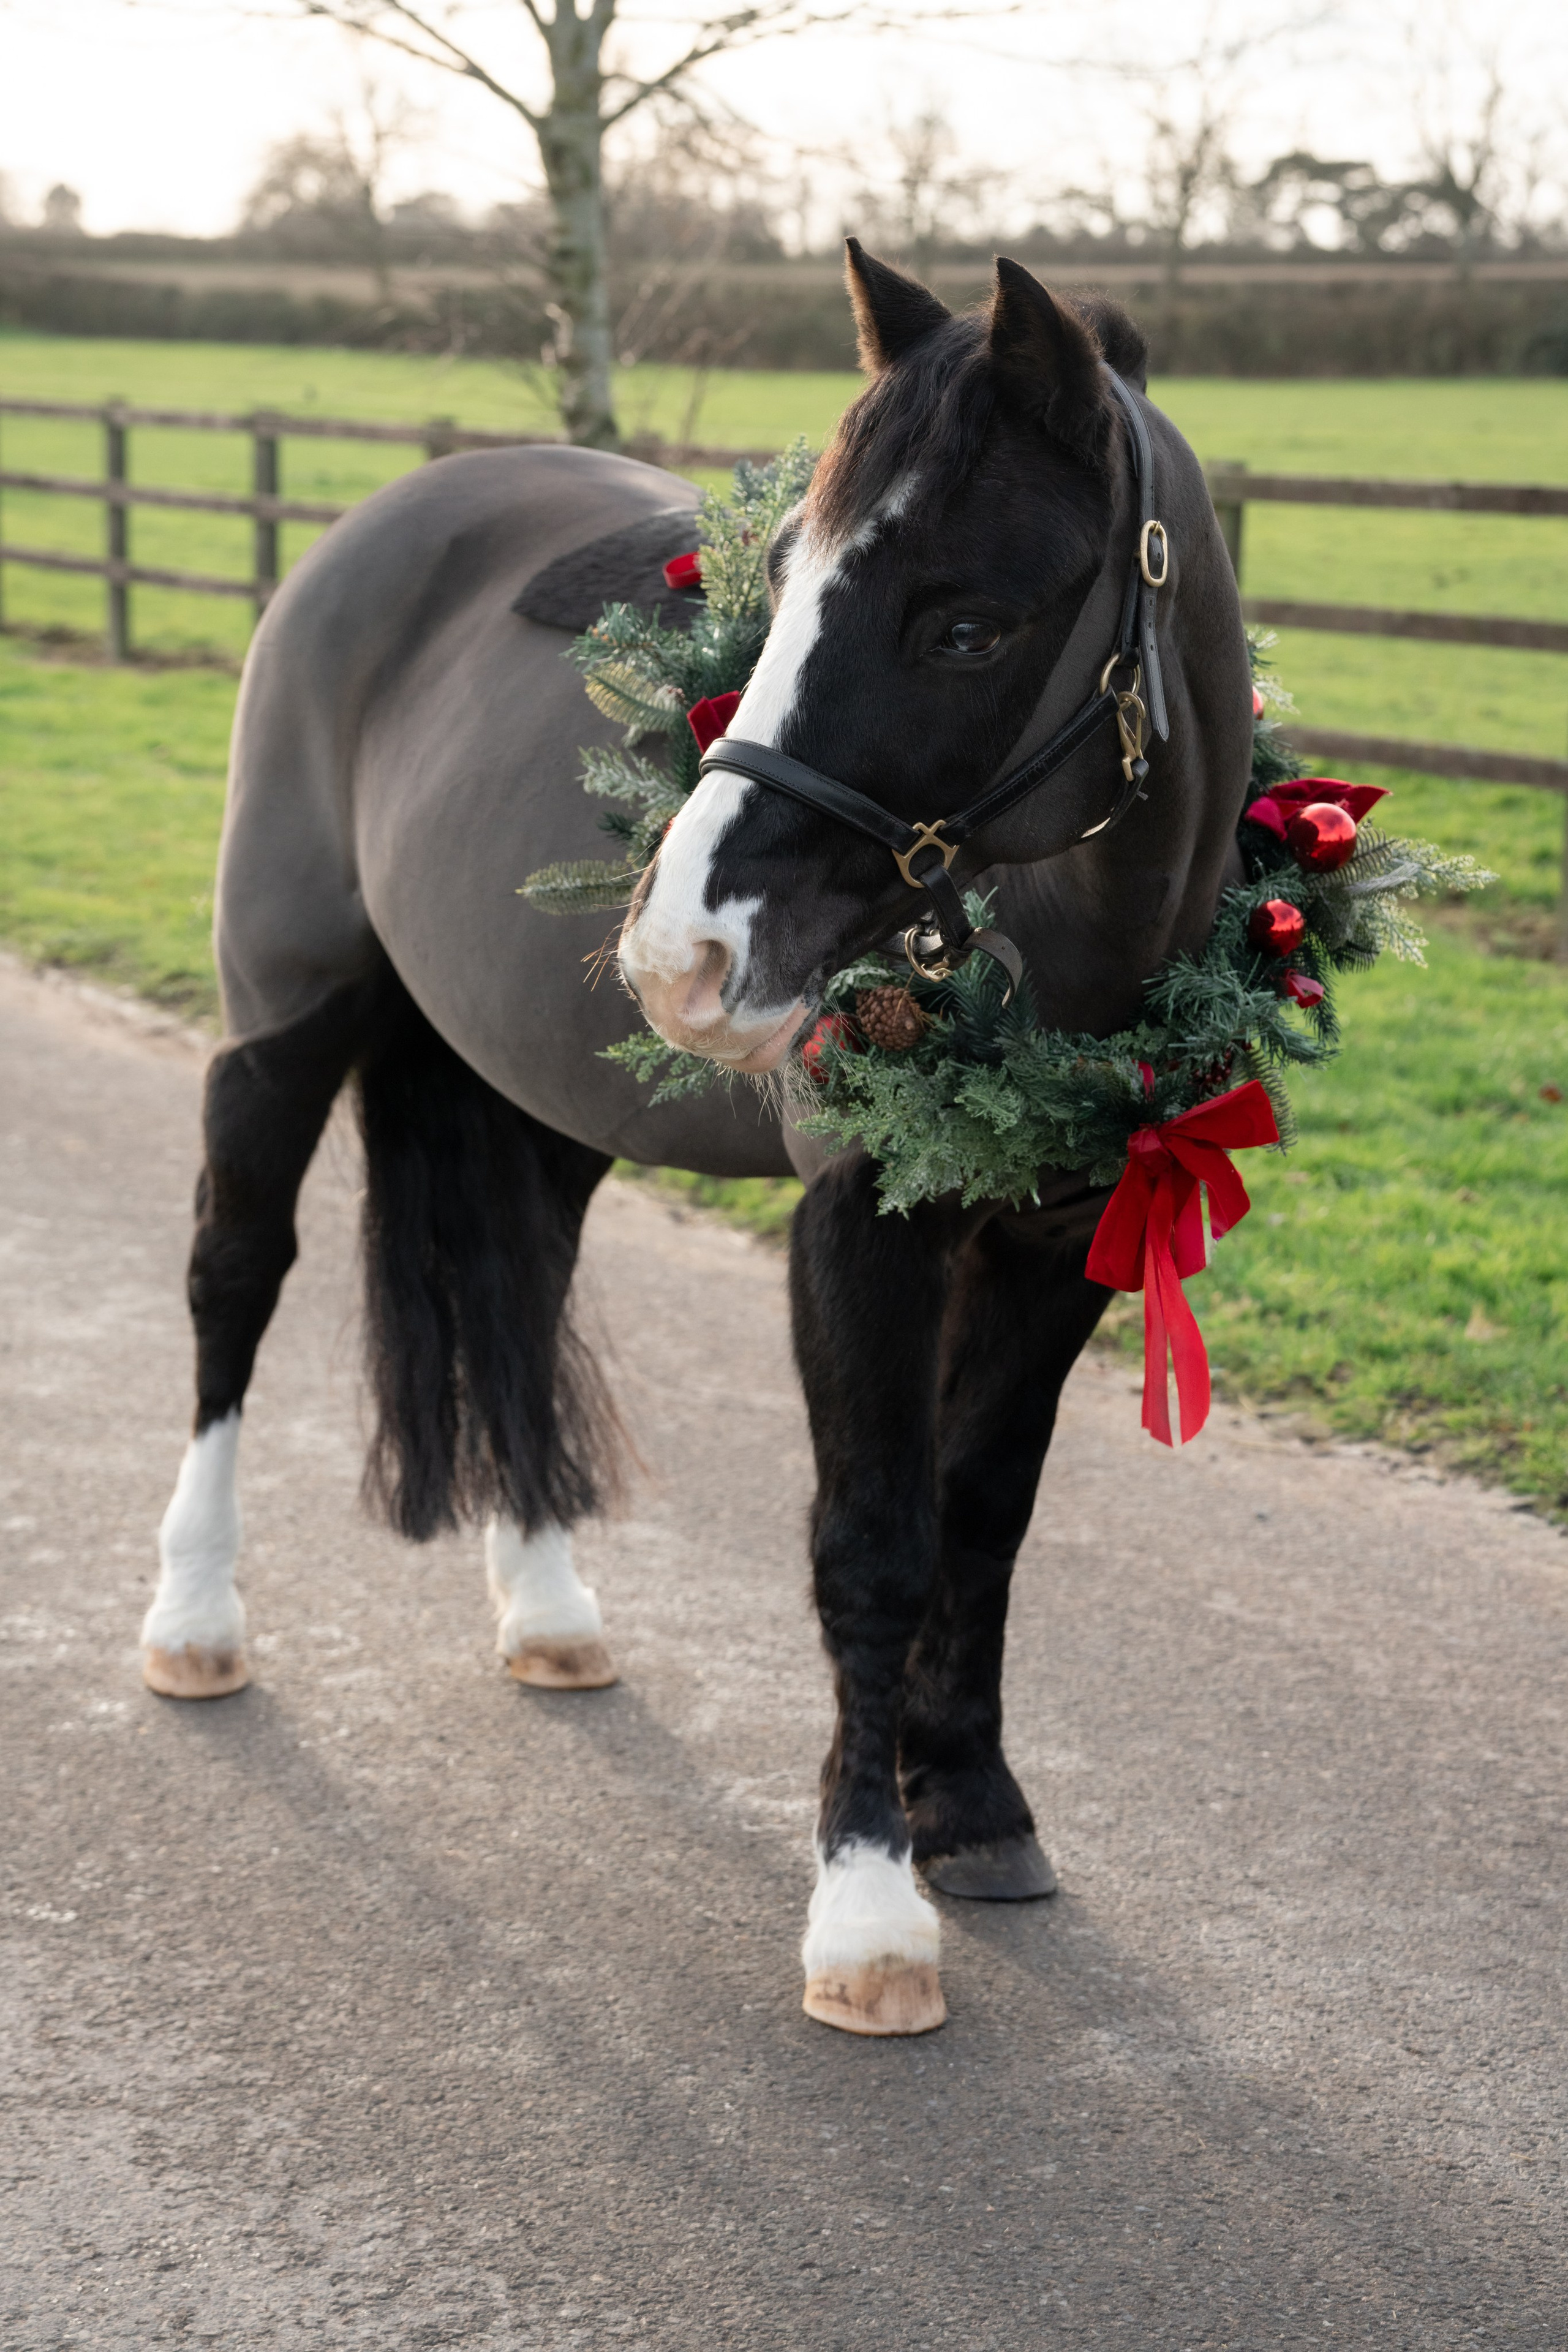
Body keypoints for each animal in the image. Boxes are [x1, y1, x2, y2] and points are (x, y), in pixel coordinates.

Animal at [142, 242, 1249, 2037]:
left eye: (963, 623)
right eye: (780, 583)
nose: (681, 950)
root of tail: (381, 528)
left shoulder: (1052, 1240)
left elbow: (977, 1520)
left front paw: (972, 1805)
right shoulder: (861, 1231)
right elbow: (873, 1542)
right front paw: (868, 1908)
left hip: (543, 1097)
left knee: (513, 1297)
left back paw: (547, 1607)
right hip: (280, 1020)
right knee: (234, 1273)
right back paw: (192, 1617)